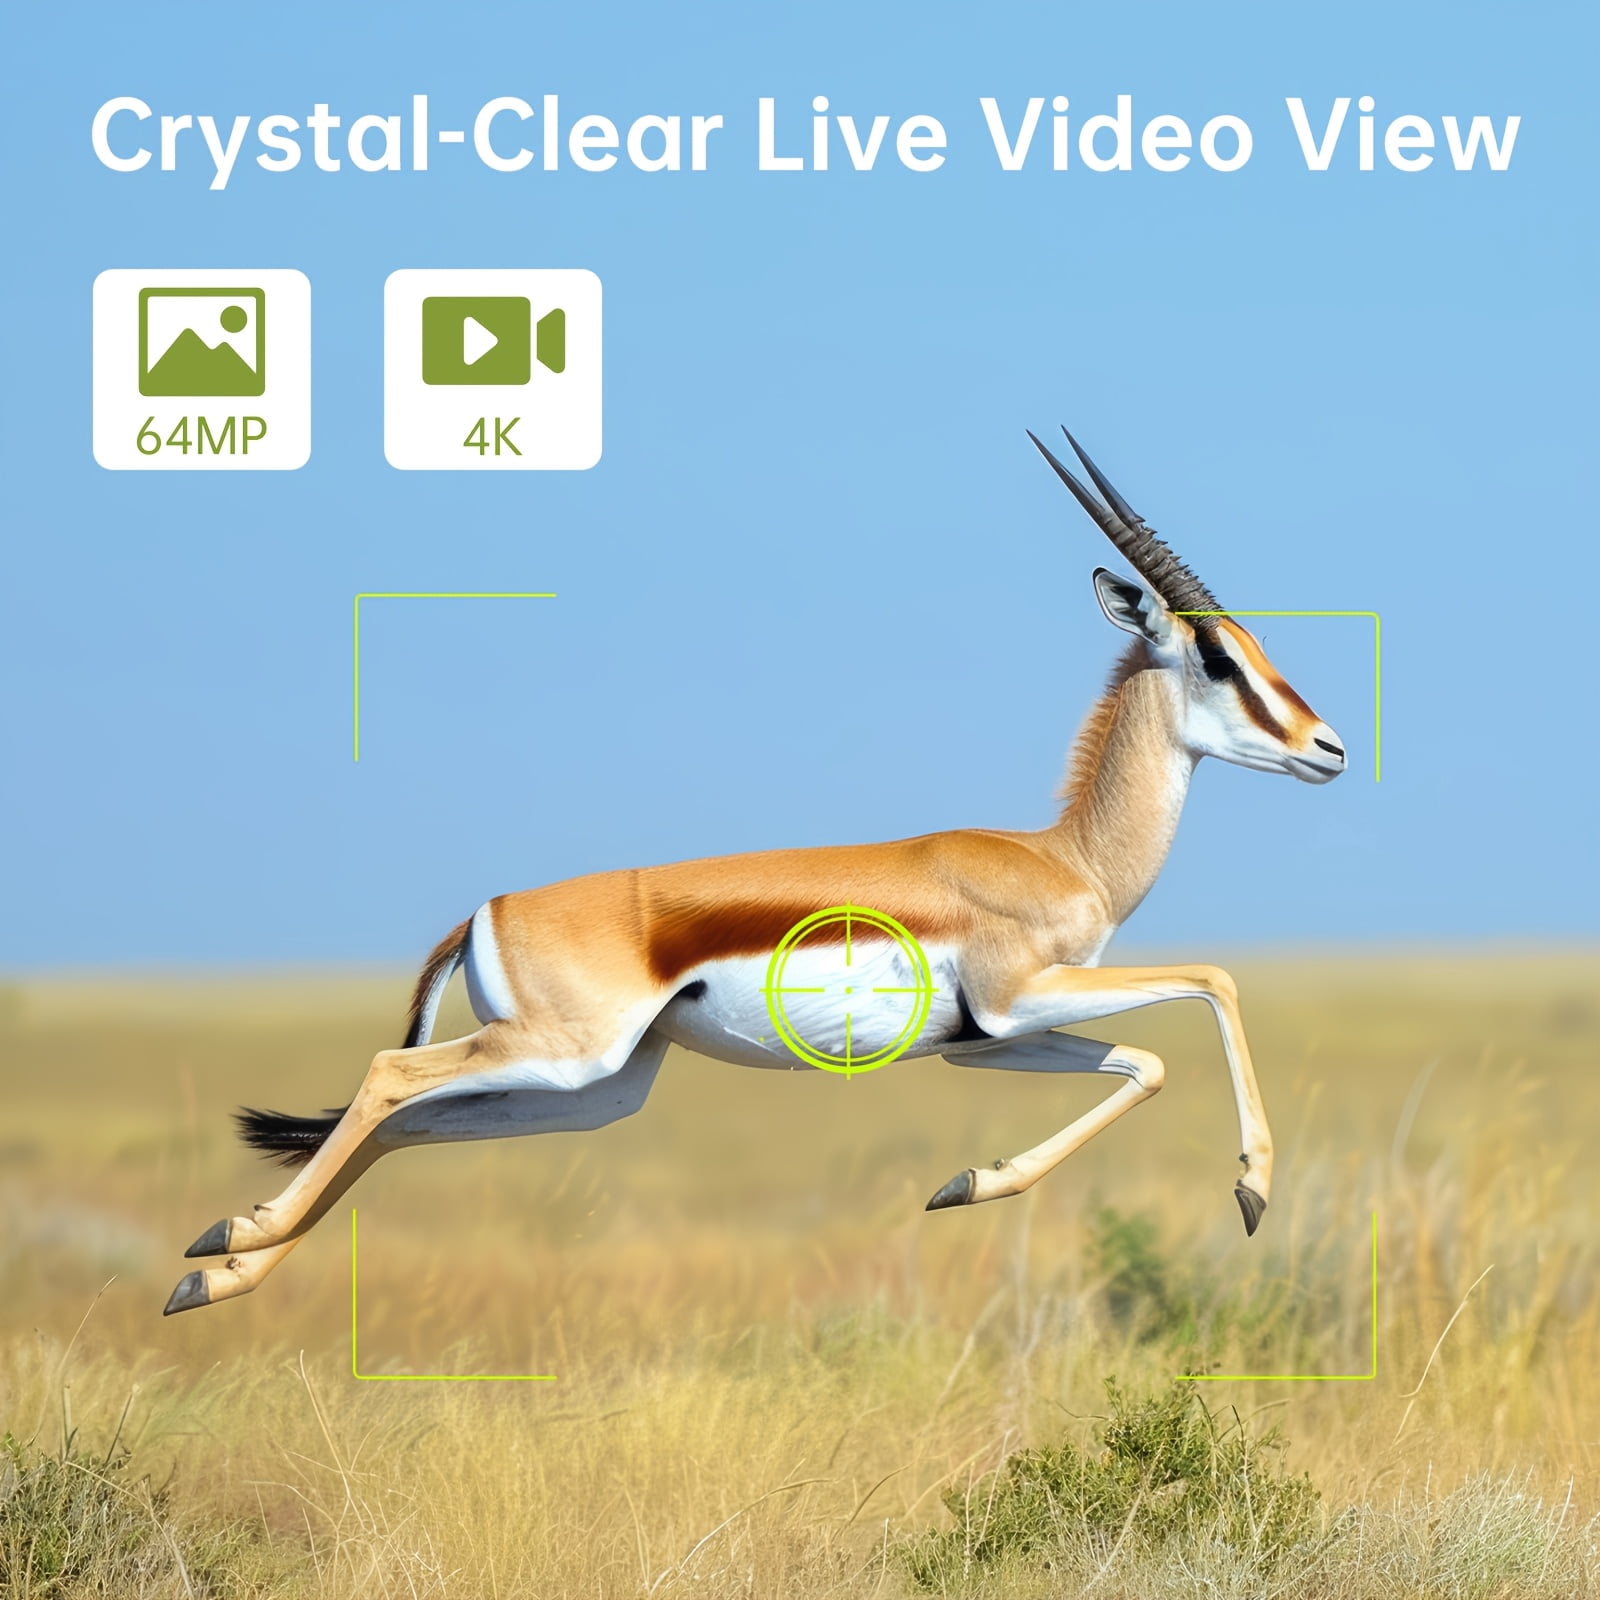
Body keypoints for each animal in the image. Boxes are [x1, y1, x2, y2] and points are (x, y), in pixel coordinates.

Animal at [165, 428, 1346, 1316]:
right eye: (1218, 657)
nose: (1327, 746)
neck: (1063, 857)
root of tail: (485, 911)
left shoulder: (992, 1042)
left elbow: (1143, 1063)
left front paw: (969, 1183)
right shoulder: (1025, 999)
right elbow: (1212, 986)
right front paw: (1250, 1190)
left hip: (592, 1090)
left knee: (405, 1120)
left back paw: (215, 1275)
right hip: (560, 1056)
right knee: (386, 1077)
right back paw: (226, 1237)